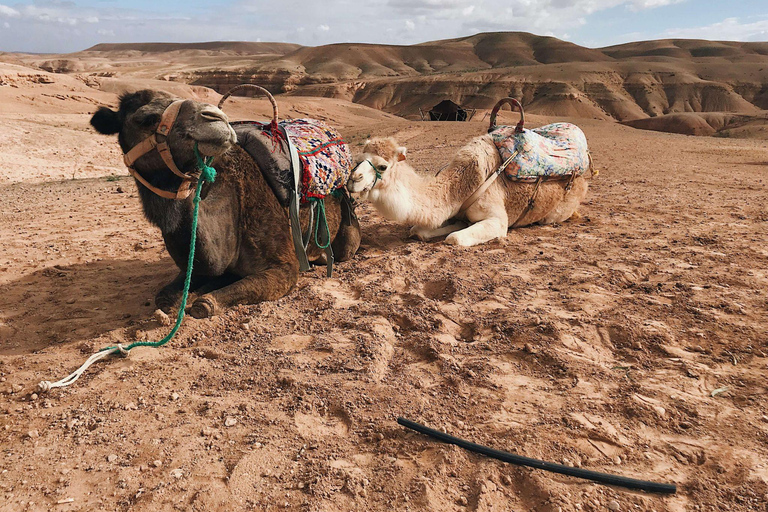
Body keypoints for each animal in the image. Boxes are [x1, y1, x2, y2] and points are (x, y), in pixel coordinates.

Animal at [90, 90, 360, 318]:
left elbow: (205, 305)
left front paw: (203, 298)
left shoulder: (285, 266)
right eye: (147, 118)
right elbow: (165, 298)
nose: (215, 118)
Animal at [348, 136, 592, 248]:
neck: (461, 185)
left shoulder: (498, 220)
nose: (353, 180)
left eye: (382, 166)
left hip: (557, 212)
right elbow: (419, 230)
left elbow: (454, 238)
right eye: (358, 159)